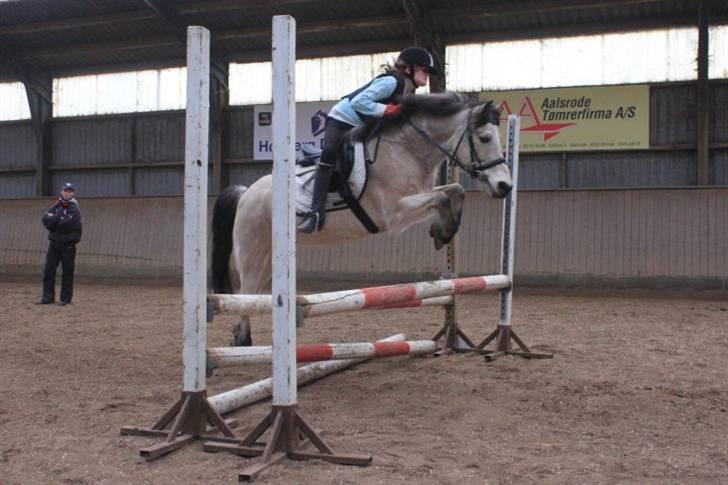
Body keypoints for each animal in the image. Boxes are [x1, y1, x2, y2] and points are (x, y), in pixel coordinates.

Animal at [212, 91, 512, 344]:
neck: (405, 151)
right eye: (485, 138)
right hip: (253, 254)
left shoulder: (419, 196)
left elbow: (455, 190)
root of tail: (246, 193)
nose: (505, 186)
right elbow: (442, 198)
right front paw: (444, 231)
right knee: (245, 294)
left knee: (252, 297)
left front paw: (443, 231)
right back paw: (244, 342)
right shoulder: (395, 213)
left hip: (269, 261)